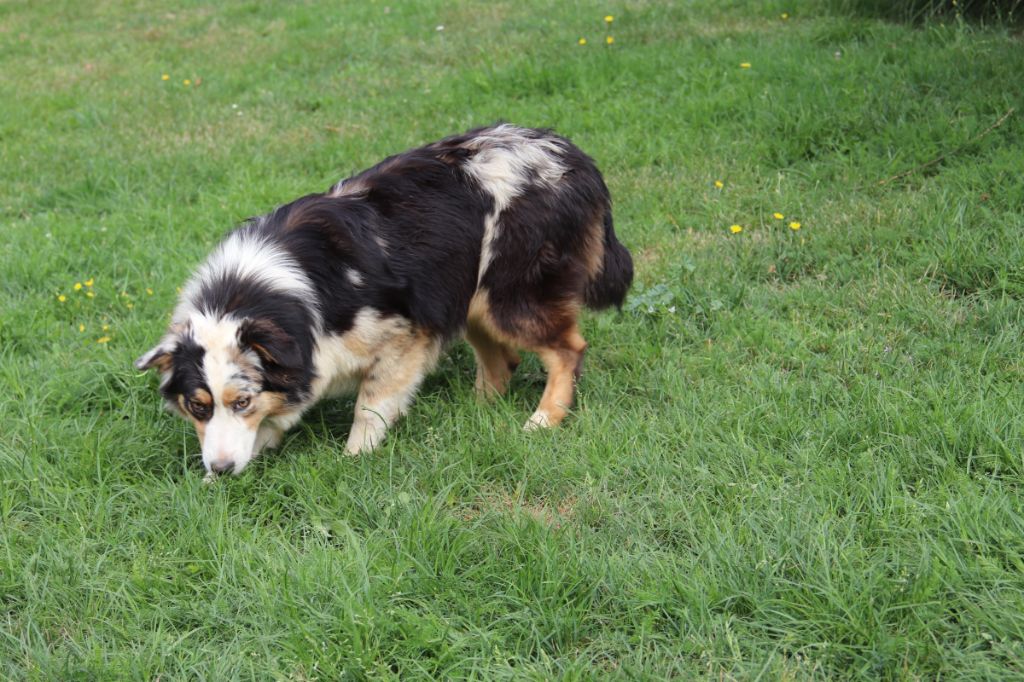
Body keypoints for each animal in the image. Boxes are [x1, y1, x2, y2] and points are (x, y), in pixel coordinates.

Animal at [134, 123, 630, 473]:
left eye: (242, 401)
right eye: (198, 406)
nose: (220, 471)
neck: (254, 292)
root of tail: (573, 156)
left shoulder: (401, 335)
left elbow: (370, 405)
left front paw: (355, 459)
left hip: (507, 292)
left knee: (567, 347)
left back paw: (544, 418)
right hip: (465, 292)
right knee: (501, 359)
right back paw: (477, 412)